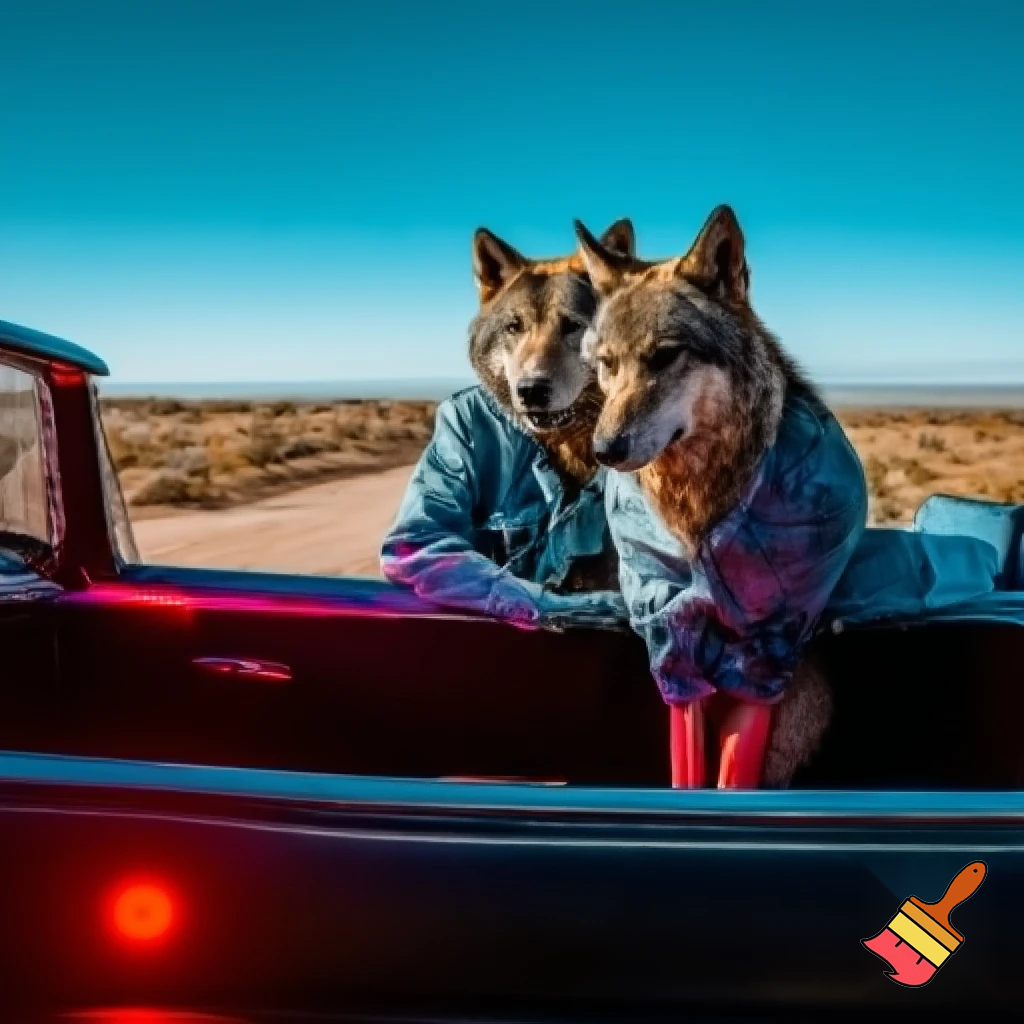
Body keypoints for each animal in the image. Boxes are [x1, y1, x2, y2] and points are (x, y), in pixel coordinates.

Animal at [574, 206, 868, 786]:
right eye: (607, 363)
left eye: (665, 357)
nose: (604, 449)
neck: (697, 504)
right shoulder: (667, 624)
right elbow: (688, 758)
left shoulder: (770, 646)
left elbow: (736, 769)